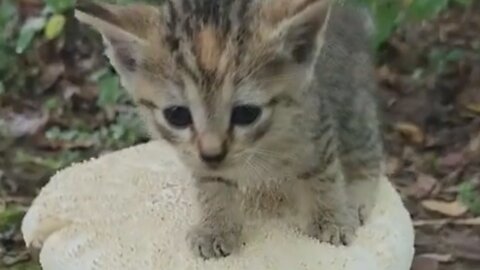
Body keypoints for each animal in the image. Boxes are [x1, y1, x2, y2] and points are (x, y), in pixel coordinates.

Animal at [75, 0, 384, 260]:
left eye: (246, 113)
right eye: (177, 115)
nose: (212, 154)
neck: (263, 143)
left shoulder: (314, 125)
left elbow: (322, 174)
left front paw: (330, 218)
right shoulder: (198, 160)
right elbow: (212, 185)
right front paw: (216, 228)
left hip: (351, 100)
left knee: (367, 149)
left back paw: (356, 197)